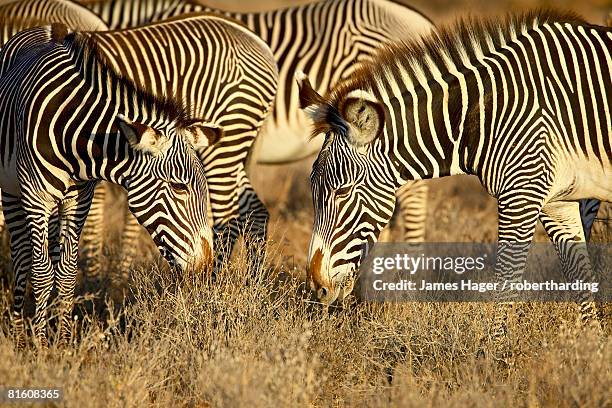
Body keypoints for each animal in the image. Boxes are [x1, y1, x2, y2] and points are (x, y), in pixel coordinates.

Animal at [0, 23, 220, 348]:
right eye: (179, 188)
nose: (206, 267)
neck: (76, 137)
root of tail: (45, 27)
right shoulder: (36, 198)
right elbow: (40, 272)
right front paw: (39, 345)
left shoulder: (79, 199)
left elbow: (66, 271)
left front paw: (62, 341)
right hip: (13, 191)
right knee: (21, 256)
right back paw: (18, 331)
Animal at [296, 11, 608, 350]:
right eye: (314, 192)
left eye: (343, 192)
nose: (317, 288)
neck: (487, 113)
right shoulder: (556, 201)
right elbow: (578, 271)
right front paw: (591, 348)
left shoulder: (522, 192)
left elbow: (506, 277)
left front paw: (494, 356)